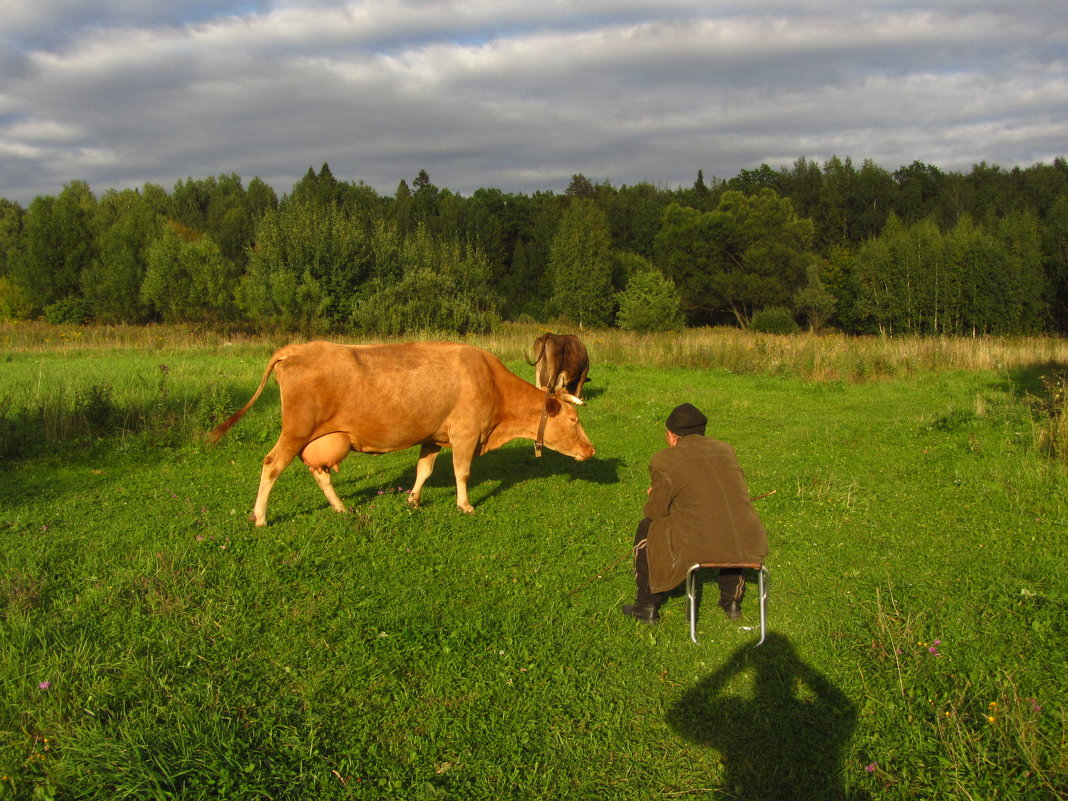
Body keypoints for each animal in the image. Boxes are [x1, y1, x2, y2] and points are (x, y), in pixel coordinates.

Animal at [206, 343, 593, 527]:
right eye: (574, 419)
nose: (591, 451)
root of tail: (296, 348)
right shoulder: (466, 434)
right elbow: (462, 472)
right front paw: (465, 505)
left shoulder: (434, 436)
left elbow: (424, 470)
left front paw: (413, 500)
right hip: (296, 431)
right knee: (271, 465)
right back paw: (260, 517)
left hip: (318, 438)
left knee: (318, 472)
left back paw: (340, 508)